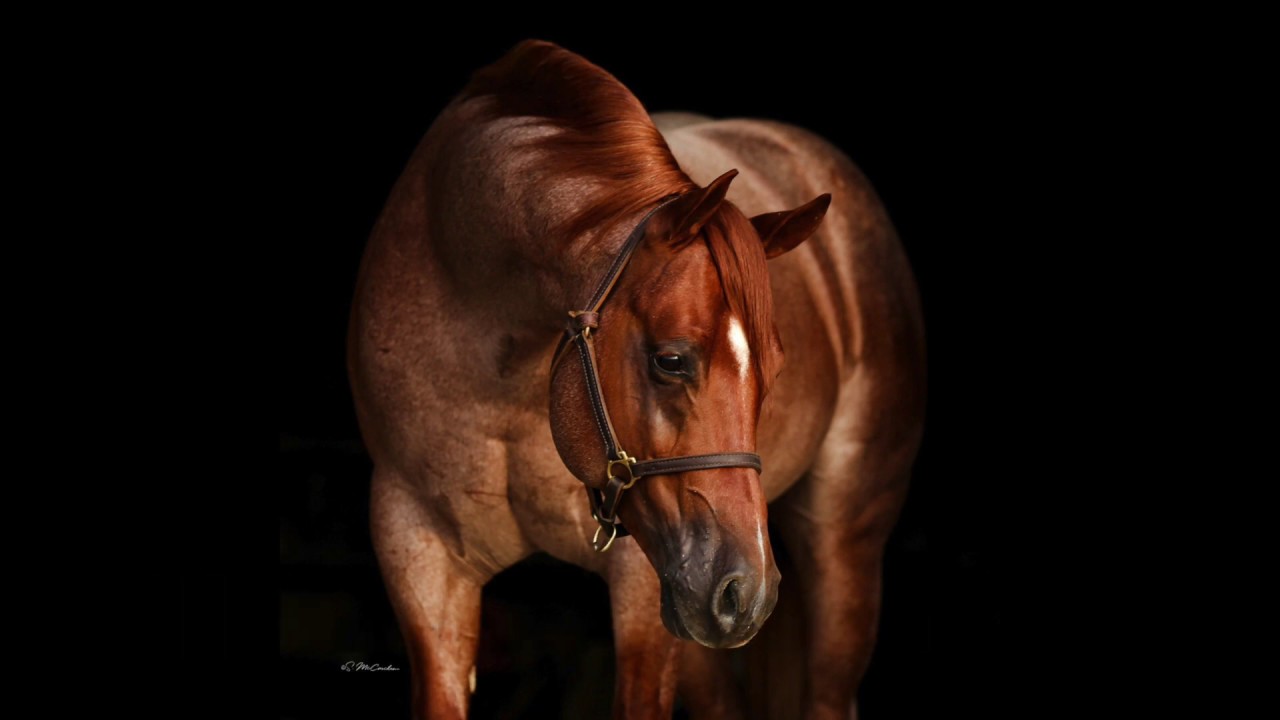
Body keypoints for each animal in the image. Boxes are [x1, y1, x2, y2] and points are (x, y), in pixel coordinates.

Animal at [347, 40, 925, 719]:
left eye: (773, 371)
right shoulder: (419, 552)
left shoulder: (643, 588)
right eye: (670, 360)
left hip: (841, 552)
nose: (748, 593)